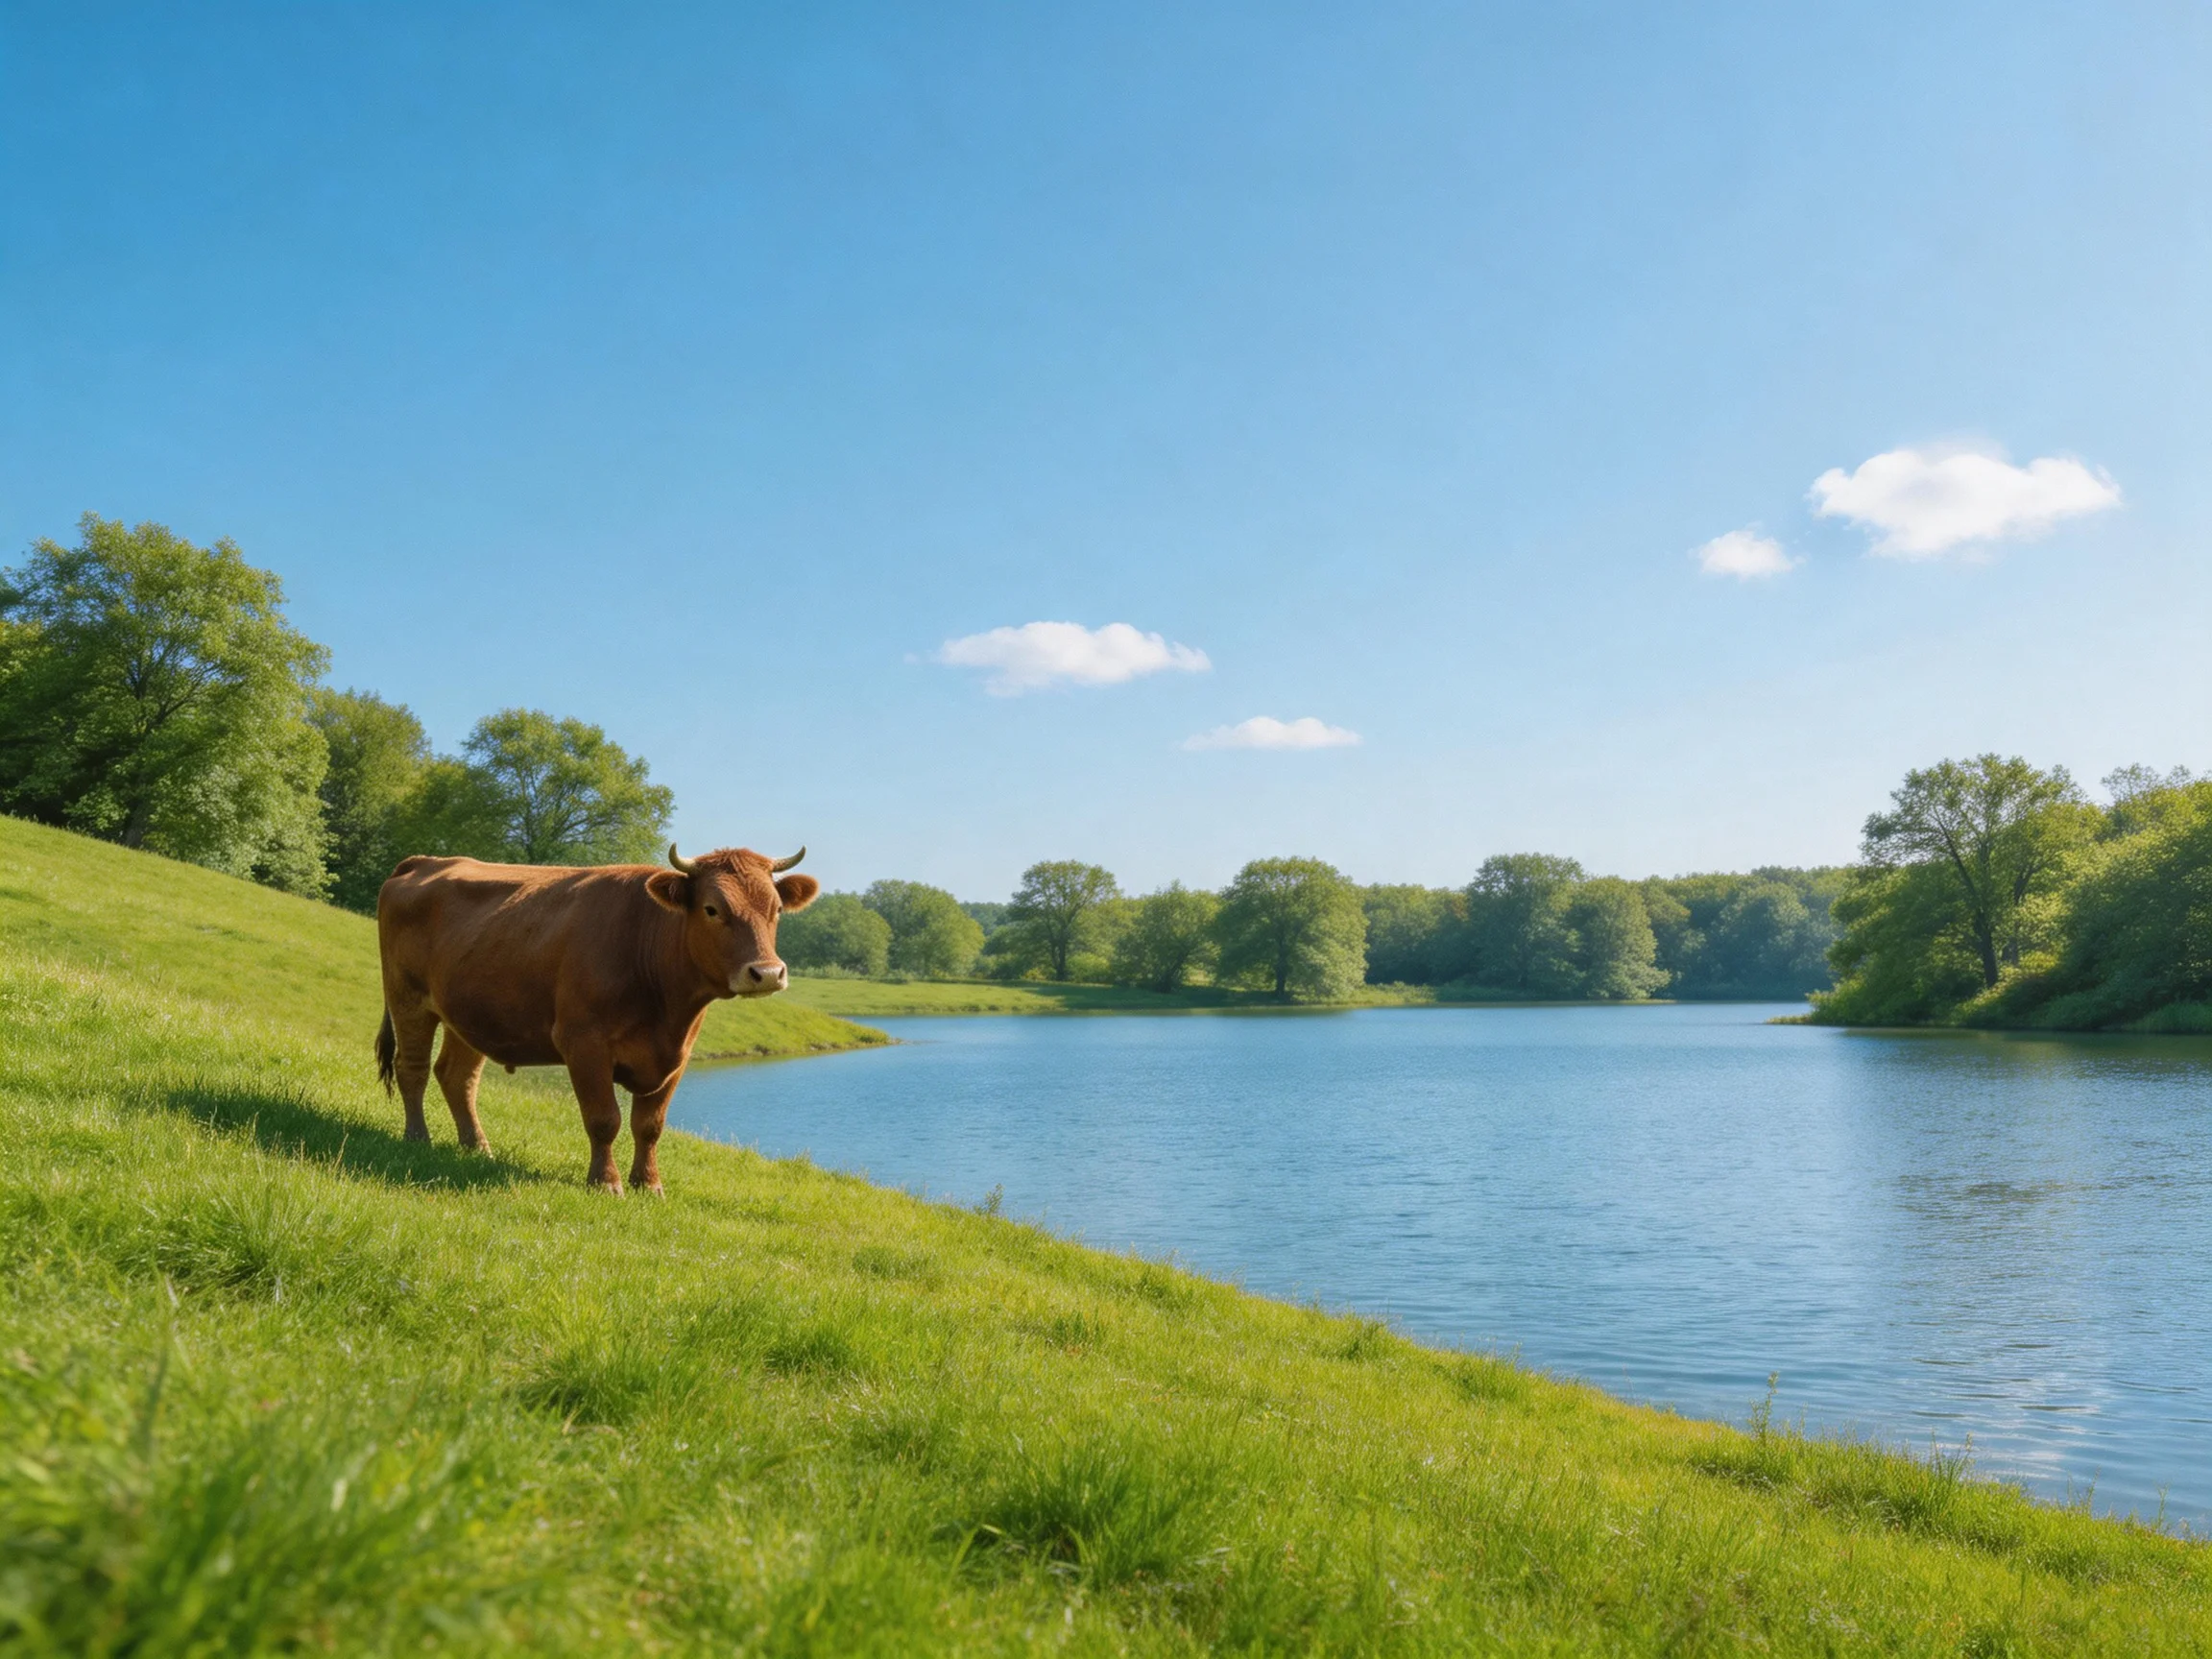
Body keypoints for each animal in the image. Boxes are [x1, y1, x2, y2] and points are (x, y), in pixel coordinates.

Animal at [374, 842, 819, 1194]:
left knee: (457, 1076)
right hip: (407, 998)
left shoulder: (678, 1057)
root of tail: (426, 861)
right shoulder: (583, 1043)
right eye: (712, 909)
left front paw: (649, 1184)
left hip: (469, 1014)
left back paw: (477, 1147)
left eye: (777, 908)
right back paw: (418, 1138)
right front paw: (606, 1182)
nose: (767, 973)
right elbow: (605, 1119)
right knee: (412, 1068)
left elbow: (650, 1125)